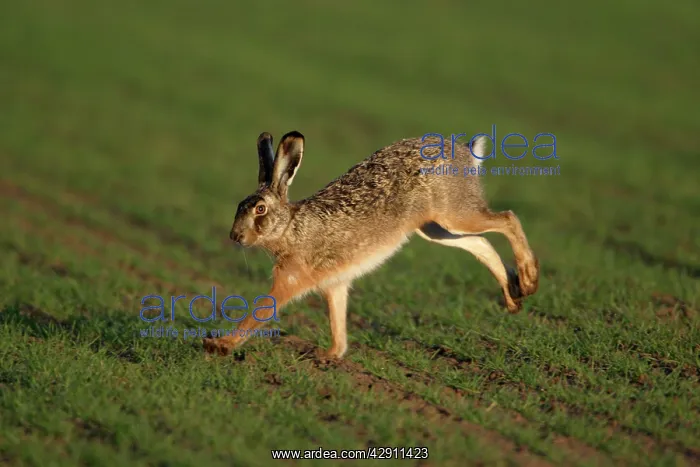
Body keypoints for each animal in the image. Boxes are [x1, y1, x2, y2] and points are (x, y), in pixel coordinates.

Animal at [203, 130, 539, 359]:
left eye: (259, 210)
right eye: (240, 206)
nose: (235, 237)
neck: (289, 228)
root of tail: (466, 153)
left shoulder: (290, 279)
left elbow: (260, 309)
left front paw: (219, 345)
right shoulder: (335, 284)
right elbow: (338, 321)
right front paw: (330, 355)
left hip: (454, 212)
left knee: (508, 219)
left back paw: (529, 280)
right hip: (435, 228)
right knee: (480, 242)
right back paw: (514, 298)